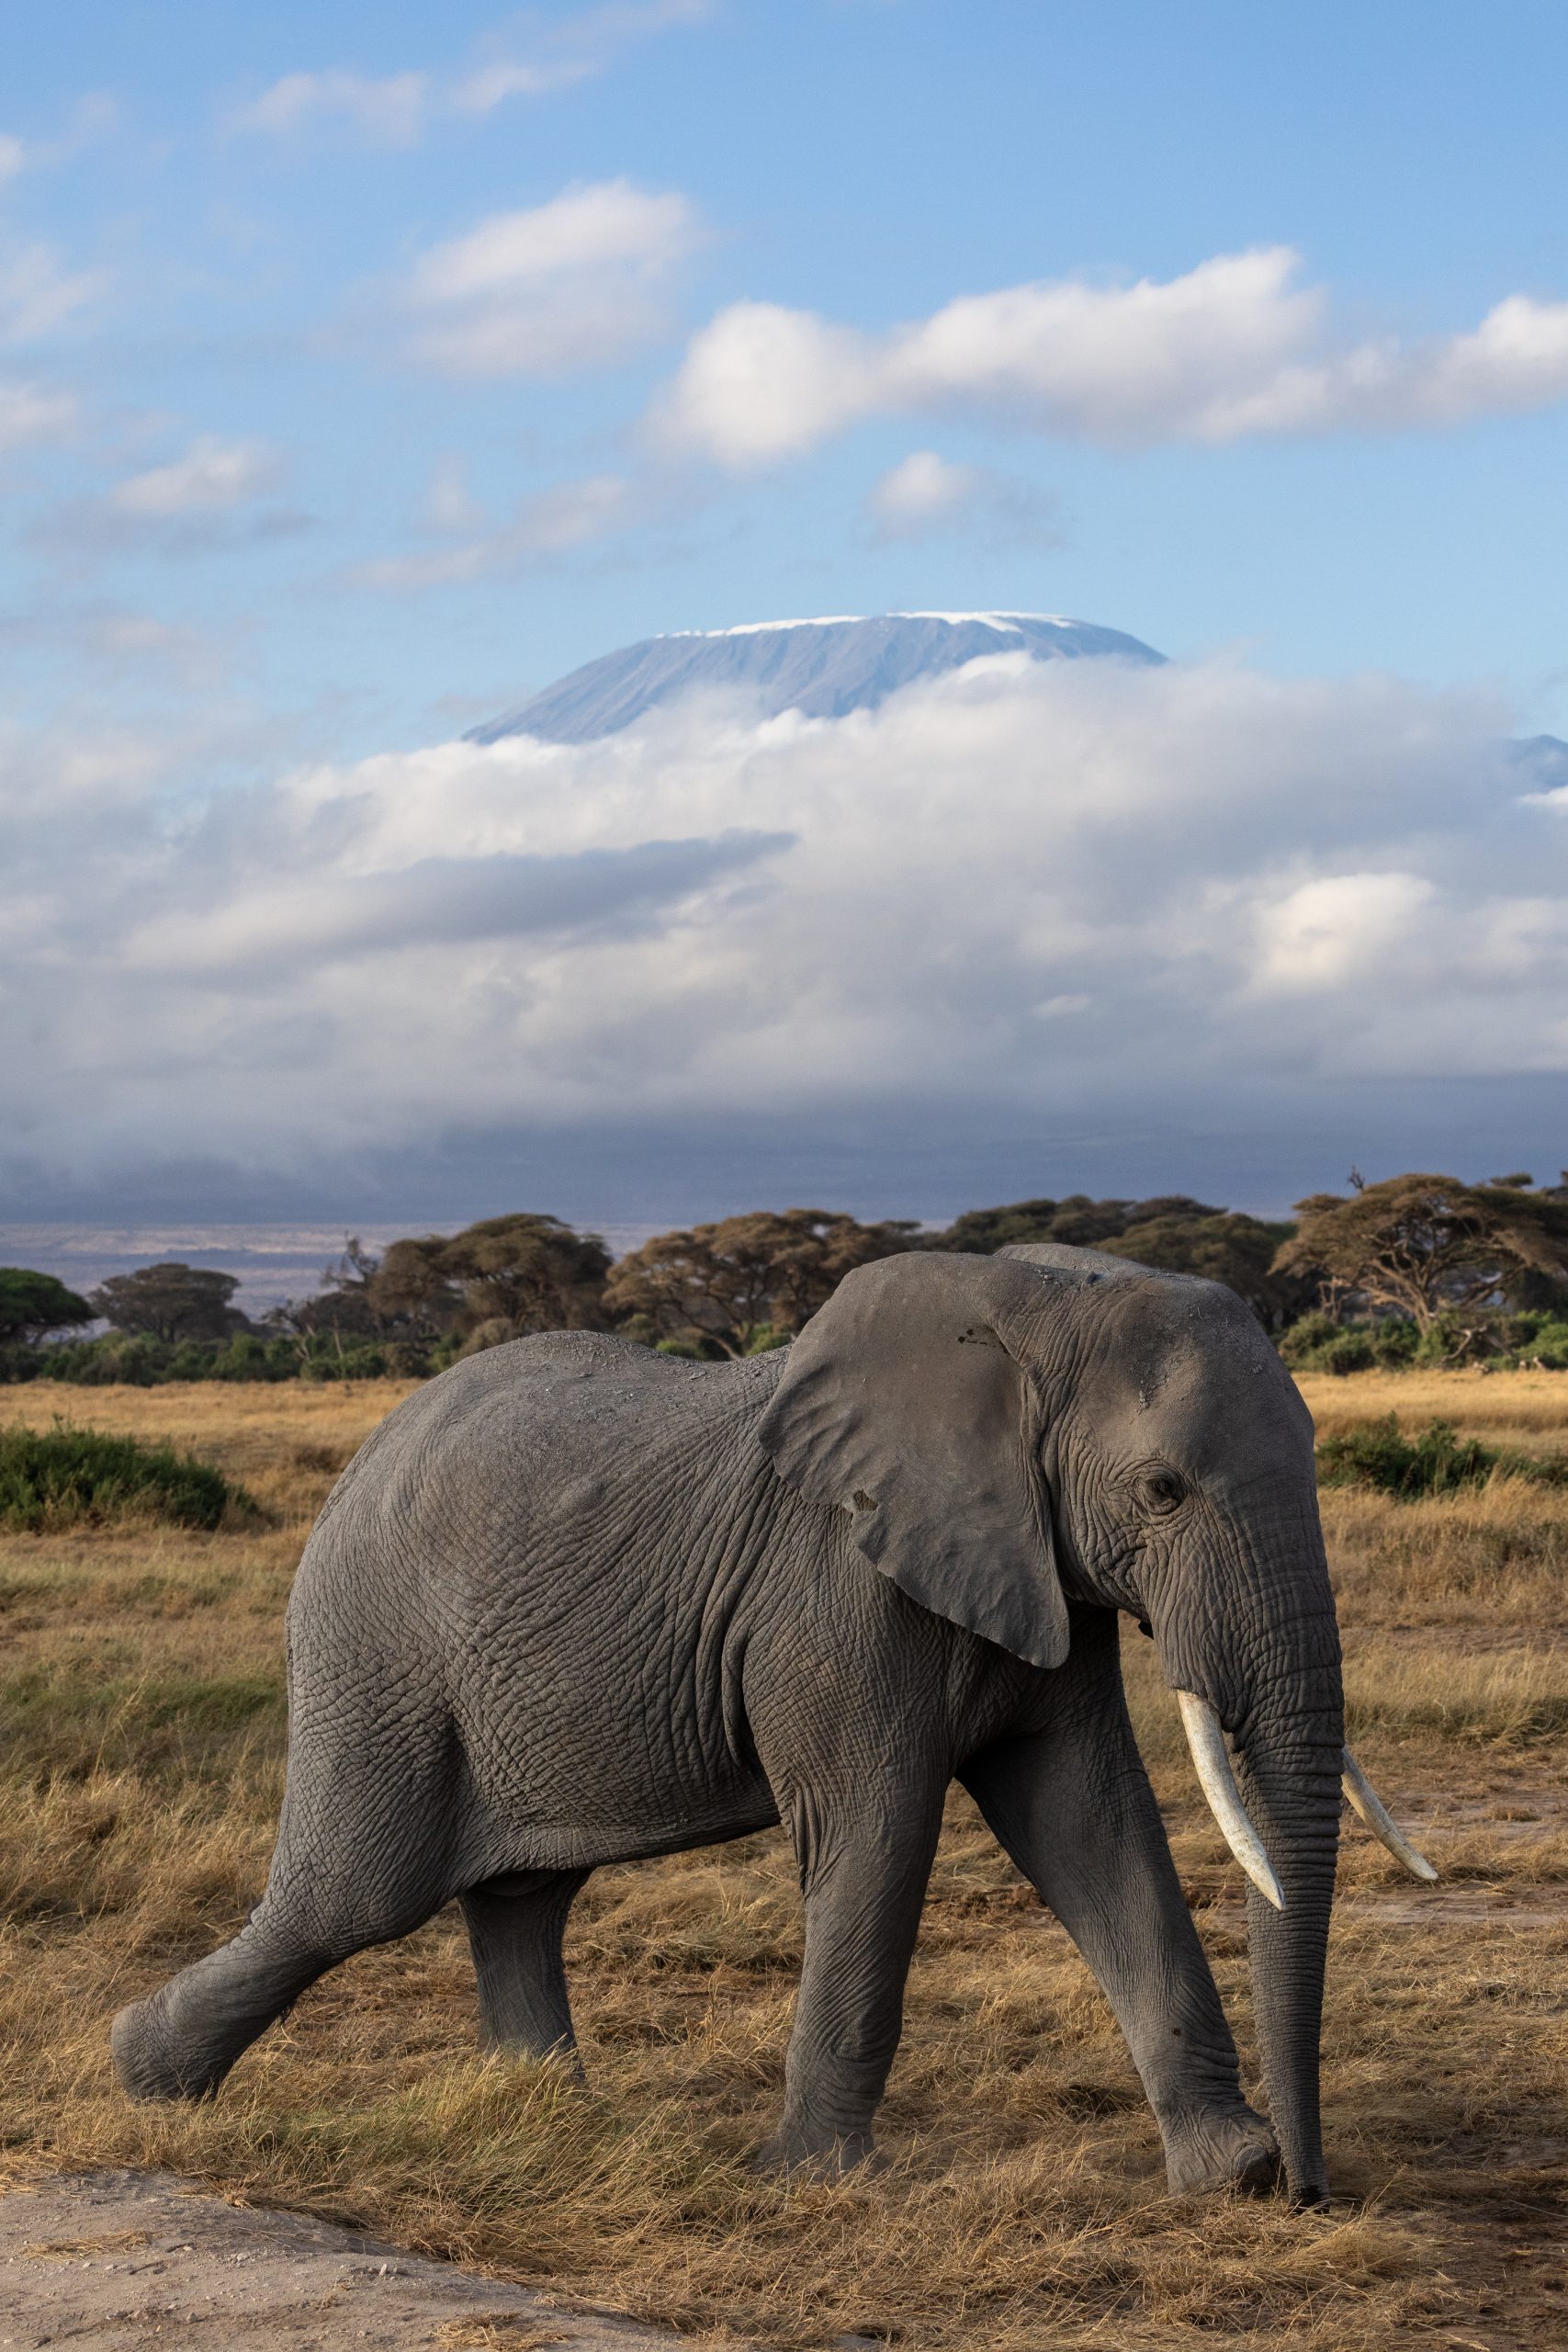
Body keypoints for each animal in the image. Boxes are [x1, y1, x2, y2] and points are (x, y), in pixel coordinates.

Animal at [110, 1250, 1438, 2201]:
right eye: (1160, 1490)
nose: (1314, 2192)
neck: (1030, 1305)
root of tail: (363, 1453)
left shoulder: (1033, 1567)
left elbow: (1091, 1825)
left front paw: (1228, 2174)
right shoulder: (834, 1589)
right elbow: (878, 1832)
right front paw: (815, 2185)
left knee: (520, 1897)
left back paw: (561, 2123)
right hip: (375, 1652)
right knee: (357, 1895)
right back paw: (138, 2073)